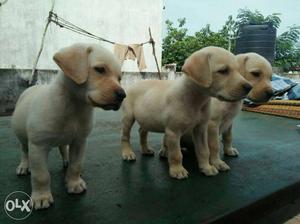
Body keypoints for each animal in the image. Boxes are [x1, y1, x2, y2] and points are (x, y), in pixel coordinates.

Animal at [11, 43, 126, 209]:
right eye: (100, 69)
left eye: (119, 78)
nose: (123, 95)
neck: (74, 105)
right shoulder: (38, 145)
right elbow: (41, 175)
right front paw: (41, 197)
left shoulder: (79, 141)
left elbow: (76, 165)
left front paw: (74, 183)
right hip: (22, 137)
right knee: (24, 151)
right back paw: (24, 166)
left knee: (63, 148)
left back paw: (66, 160)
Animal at [119, 46, 251, 179]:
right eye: (223, 71)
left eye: (238, 70)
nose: (249, 87)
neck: (196, 100)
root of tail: (134, 84)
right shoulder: (173, 132)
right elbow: (176, 154)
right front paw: (177, 170)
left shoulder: (201, 129)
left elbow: (204, 151)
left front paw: (207, 168)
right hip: (128, 117)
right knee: (125, 136)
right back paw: (127, 153)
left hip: (146, 119)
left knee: (142, 131)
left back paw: (145, 149)